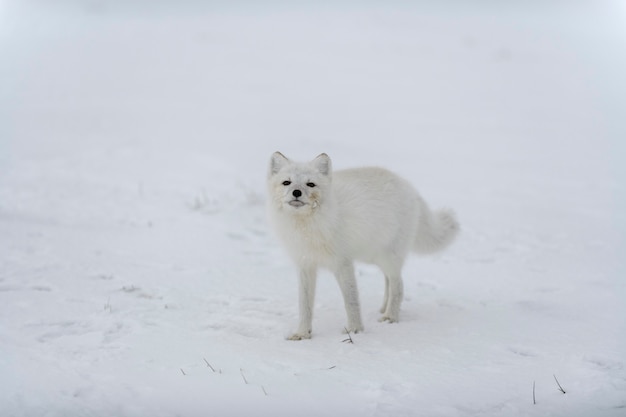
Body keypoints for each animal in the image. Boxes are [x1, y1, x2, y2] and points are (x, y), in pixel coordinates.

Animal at [266, 151, 456, 340]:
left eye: (310, 184)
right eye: (287, 182)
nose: (296, 192)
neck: (307, 226)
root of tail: (409, 187)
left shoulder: (343, 263)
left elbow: (351, 300)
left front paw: (355, 330)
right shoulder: (305, 265)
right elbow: (304, 304)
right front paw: (302, 333)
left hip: (389, 257)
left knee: (398, 285)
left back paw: (390, 316)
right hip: (374, 256)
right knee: (388, 280)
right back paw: (384, 308)